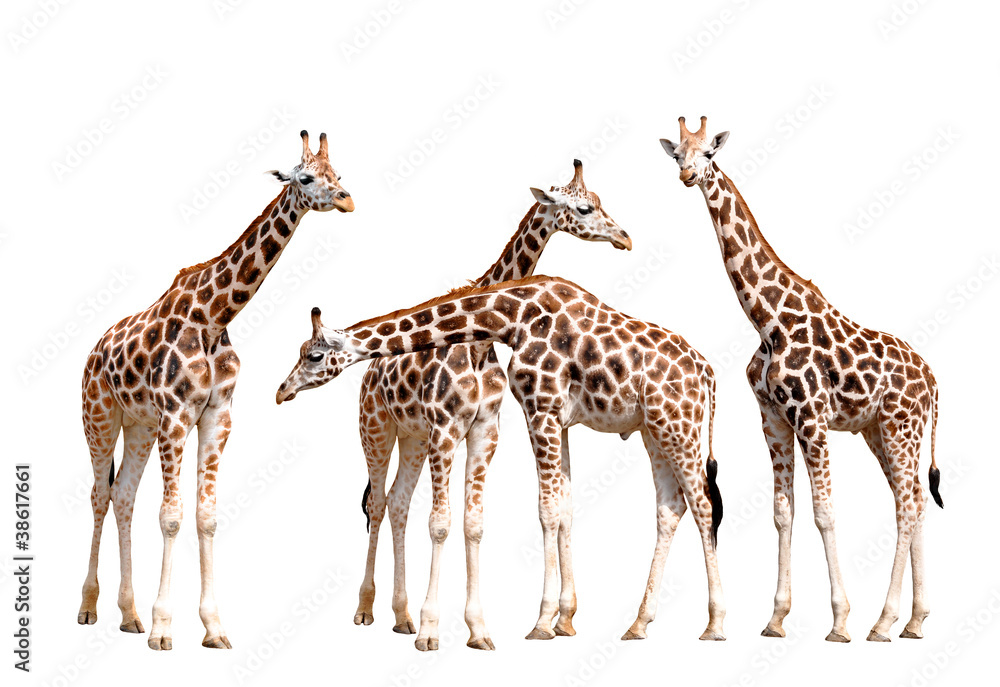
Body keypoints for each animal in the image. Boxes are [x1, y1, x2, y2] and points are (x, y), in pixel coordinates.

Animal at [78, 130, 353, 650]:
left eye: (339, 174)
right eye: (306, 178)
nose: (348, 199)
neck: (213, 317)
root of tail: (94, 350)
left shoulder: (216, 417)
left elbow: (206, 516)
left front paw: (213, 627)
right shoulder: (175, 416)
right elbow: (171, 515)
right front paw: (163, 629)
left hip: (139, 426)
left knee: (123, 496)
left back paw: (128, 615)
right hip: (99, 417)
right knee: (99, 495)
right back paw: (88, 607)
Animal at [276, 275, 726, 644]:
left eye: (313, 355)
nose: (282, 391)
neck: (512, 318)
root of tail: (708, 375)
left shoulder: (540, 409)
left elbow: (546, 510)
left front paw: (542, 622)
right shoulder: (557, 419)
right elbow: (564, 509)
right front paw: (565, 620)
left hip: (678, 427)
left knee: (703, 506)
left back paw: (715, 624)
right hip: (655, 430)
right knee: (670, 509)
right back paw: (638, 624)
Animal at [342, 160, 631, 651]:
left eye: (599, 200)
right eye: (583, 207)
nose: (625, 238)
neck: (478, 344)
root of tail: (369, 373)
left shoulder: (481, 430)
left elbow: (473, 523)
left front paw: (476, 630)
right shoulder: (444, 429)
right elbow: (440, 522)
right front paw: (433, 631)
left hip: (413, 438)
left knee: (398, 504)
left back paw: (401, 616)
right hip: (377, 430)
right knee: (377, 504)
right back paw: (365, 610)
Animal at [660, 116, 943, 642]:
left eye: (708, 153)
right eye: (677, 154)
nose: (687, 176)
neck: (768, 321)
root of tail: (933, 379)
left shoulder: (811, 417)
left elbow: (825, 513)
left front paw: (840, 621)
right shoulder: (773, 417)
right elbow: (782, 513)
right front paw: (775, 619)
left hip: (901, 426)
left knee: (908, 505)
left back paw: (883, 622)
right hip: (880, 430)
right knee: (912, 498)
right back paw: (914, 620)